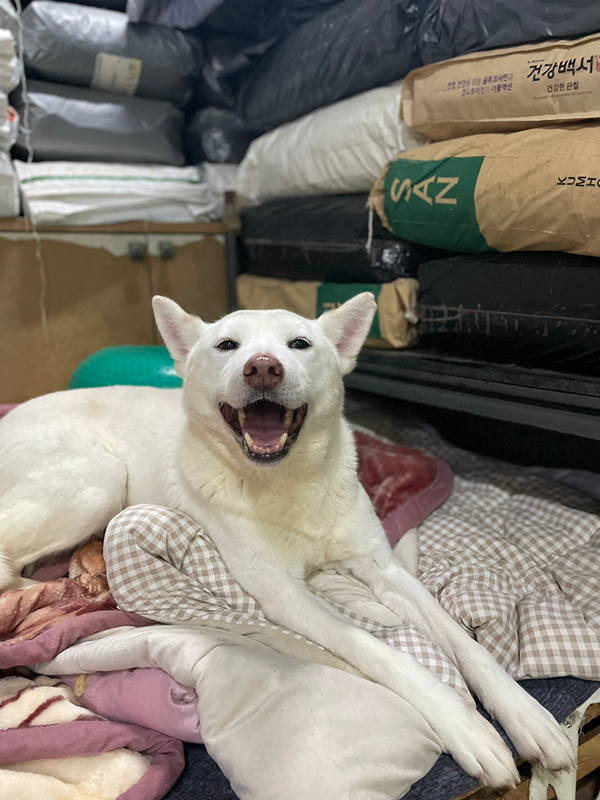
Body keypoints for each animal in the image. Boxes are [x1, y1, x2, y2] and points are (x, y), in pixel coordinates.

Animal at [0, 294, 572, 788]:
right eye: (227, 345)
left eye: (300, 344)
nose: (262, 368)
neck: (288, 482)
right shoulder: (285, 596)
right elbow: (383, 652)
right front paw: (466, 727)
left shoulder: (384, 569)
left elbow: (465, 645)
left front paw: (526, 715)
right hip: (96, 478)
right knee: (10, 563)